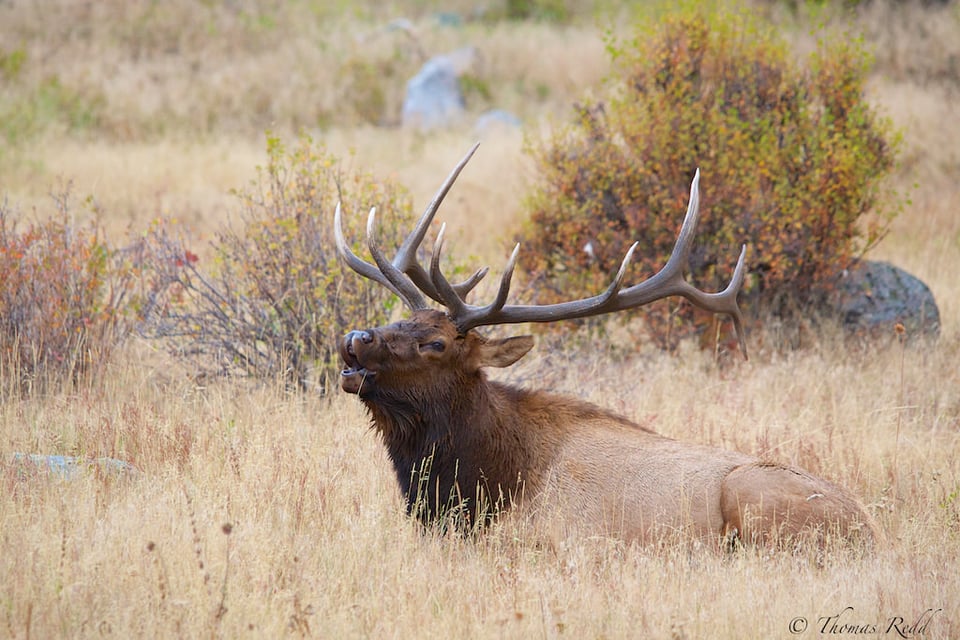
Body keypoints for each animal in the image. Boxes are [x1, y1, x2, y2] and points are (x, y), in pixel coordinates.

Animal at [336, 145, 876, 552]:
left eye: (436, 342)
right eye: (397, 317)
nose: (355, 339)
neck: (475, 486)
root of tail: (870, 531)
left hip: (753, 497)